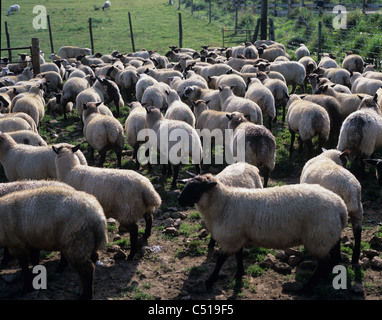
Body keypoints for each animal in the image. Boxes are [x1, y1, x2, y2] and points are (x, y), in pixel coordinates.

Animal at [178, 174, 348, 292]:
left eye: (195, 188)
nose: (179, 200)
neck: (224, 203)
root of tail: (341, 206)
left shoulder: (231, 239)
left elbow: (220, 260)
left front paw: (209, 282)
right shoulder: (238, 237)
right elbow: (239, 255)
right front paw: (239, 273)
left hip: (318, 237)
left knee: (324, 262)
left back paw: (306, 288)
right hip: (328, 234)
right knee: (334, 255)